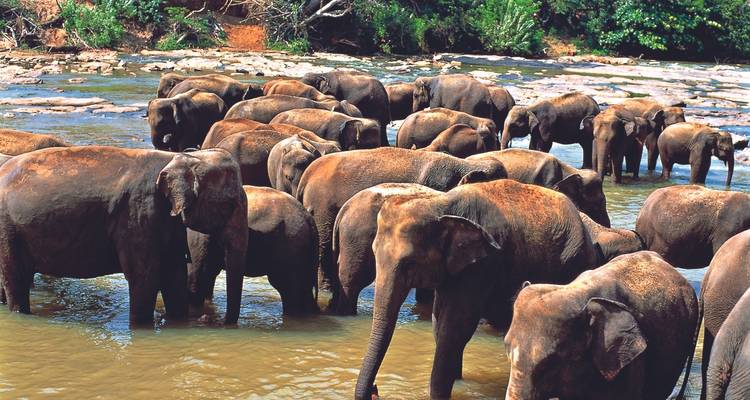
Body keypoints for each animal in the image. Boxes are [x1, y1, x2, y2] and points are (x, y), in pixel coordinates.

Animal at [0, 147, 247, 324]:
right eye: (229, 204)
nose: (213, 320)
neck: (180, 156)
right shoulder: (137, 213)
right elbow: (145, 276)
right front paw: (142, 327)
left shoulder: (166, 221)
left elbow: (173, 275)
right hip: (7, 228)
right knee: (17, 278)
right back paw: (20, 314)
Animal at [354, 179, 599, 400]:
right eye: (374, 253)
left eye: (409, 263)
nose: (375, 388)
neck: (440, 205)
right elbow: (439, 321)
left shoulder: (482, 265)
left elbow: (456, 326)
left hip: (573, 262)